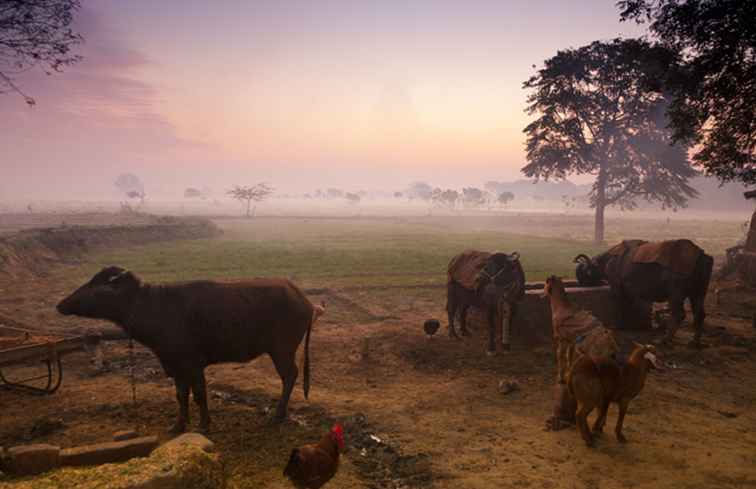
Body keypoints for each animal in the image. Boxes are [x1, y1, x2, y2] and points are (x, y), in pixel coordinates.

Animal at [55, 266, 322, 430]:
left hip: (282, 350)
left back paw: (277, 414)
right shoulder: (174, 366)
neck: (153, 307)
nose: (61, 304)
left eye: (96, 286)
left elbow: (199, 394)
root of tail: (306, 302)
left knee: (290, 376)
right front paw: (178, 425)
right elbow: (181, 396)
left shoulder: (192, 365)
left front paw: (204, 424)